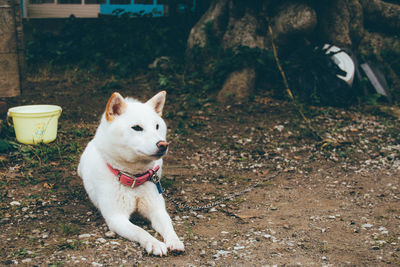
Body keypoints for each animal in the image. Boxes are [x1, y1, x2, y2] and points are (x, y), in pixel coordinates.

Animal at [77, 92, 184, 258]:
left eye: (157, 126)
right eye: (137, 128)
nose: (163, 145)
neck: (134, 178)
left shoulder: (157, 209)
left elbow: (168, 226)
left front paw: (175, 241)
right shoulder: (117, 218)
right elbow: (140, 231)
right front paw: (154, 243)